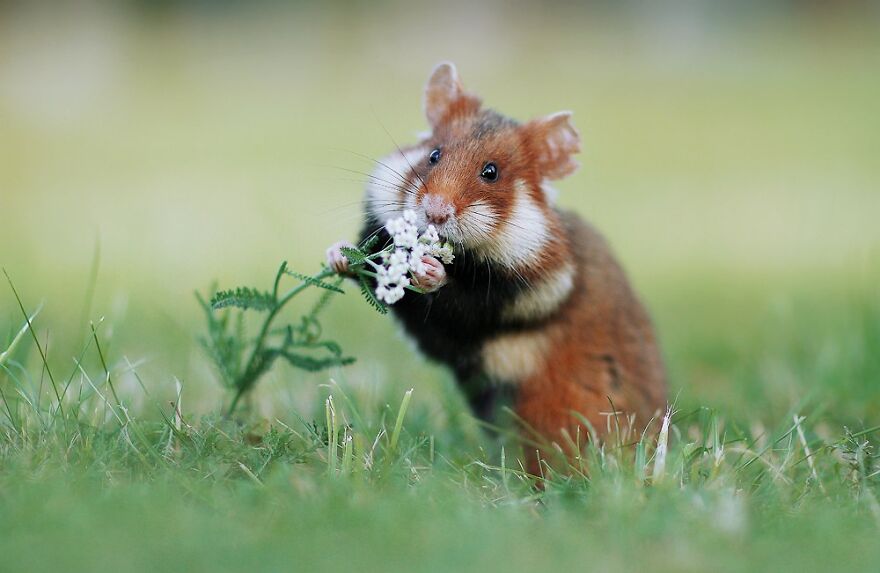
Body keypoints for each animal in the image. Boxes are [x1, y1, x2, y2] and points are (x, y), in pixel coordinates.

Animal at [327, 62, 666, 475]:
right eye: (434, 155)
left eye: (491, 172)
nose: (435, 212)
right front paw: (338, 256)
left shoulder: (515, 297)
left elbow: (460, 300)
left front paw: (428, 270)